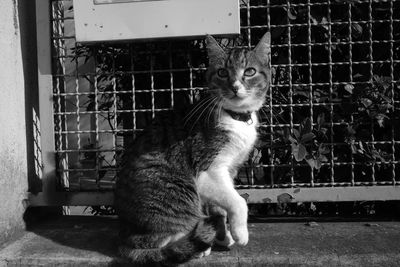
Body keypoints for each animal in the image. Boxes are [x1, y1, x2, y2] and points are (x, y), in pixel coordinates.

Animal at [115, 31, 272, 266]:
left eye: (250, 71)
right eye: (222, 72)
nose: (235, 87)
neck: (234, 117)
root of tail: (123, 236)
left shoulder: (231, 170)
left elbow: (220, 207)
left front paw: (223, 235)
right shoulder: (208, 170)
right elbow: (237, 201)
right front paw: (240, 233)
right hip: (179, 190)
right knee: (156, 240)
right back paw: (193, 246)